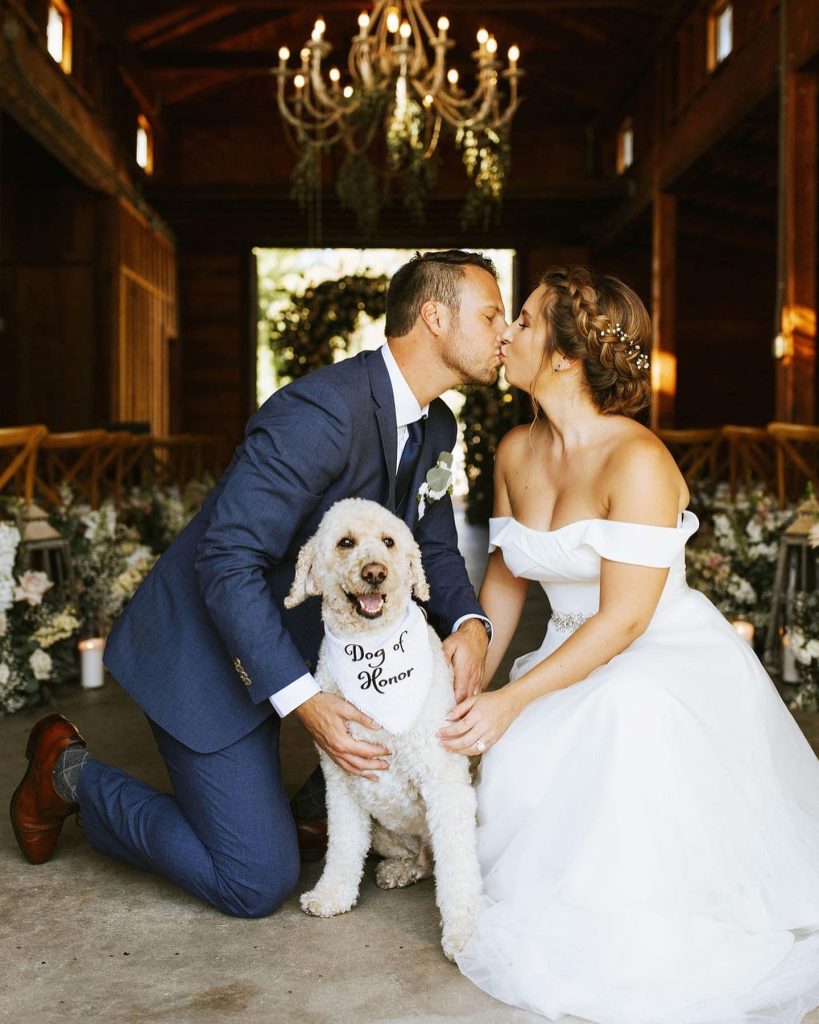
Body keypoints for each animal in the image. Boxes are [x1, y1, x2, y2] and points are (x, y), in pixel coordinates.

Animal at [286, 495, 483, 958]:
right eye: (345, 542)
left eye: (389, 542)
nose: (375, 572)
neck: (373, 648)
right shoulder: (341, 779)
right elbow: (342, 845)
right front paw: (332, 895)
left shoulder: (444, 780)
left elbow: (458, 866)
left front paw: (465, 932)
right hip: (384, 832)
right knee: (420, 860)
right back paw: (400, 869)